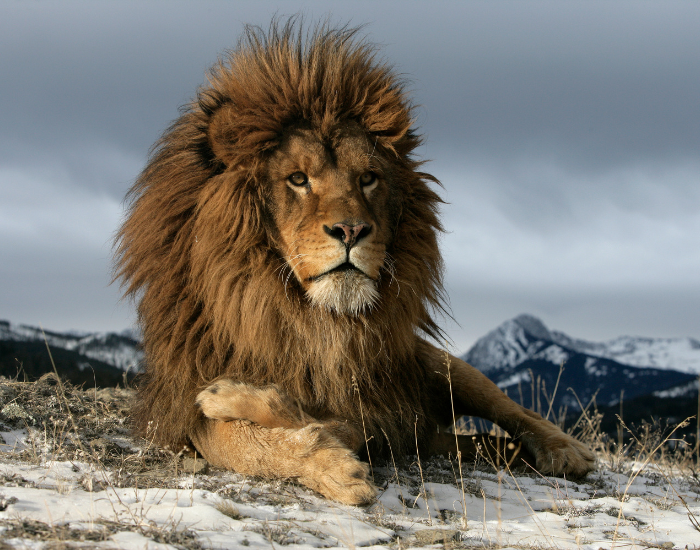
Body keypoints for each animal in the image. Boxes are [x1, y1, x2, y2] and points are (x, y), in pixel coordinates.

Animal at [115, 21, 594, 505]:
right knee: (474, 442)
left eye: (367, 178)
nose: (351, 230)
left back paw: (566, 451)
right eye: (298, 179)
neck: (311, 321)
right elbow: (243, 441)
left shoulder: (376, 410)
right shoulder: (183, 407)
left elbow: (315, 419)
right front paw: (326, 462)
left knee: (515, 412)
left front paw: (243, 403)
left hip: (442, 367)